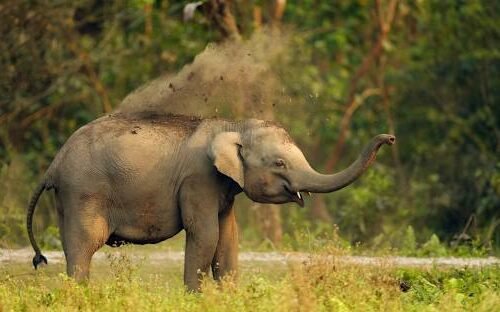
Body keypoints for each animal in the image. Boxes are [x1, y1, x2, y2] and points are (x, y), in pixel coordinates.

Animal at [27, 111, 394, 292]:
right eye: (279, 163)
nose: (390, 138)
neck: (233, 125)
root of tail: (54, 164)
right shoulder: (198, 180)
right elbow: (205, 235)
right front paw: (195, 297)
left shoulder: (223, 187)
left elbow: (228, 238)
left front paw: (231, 296)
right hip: (82, 193)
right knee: (83, 247)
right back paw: (82, 293)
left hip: (68, 198)